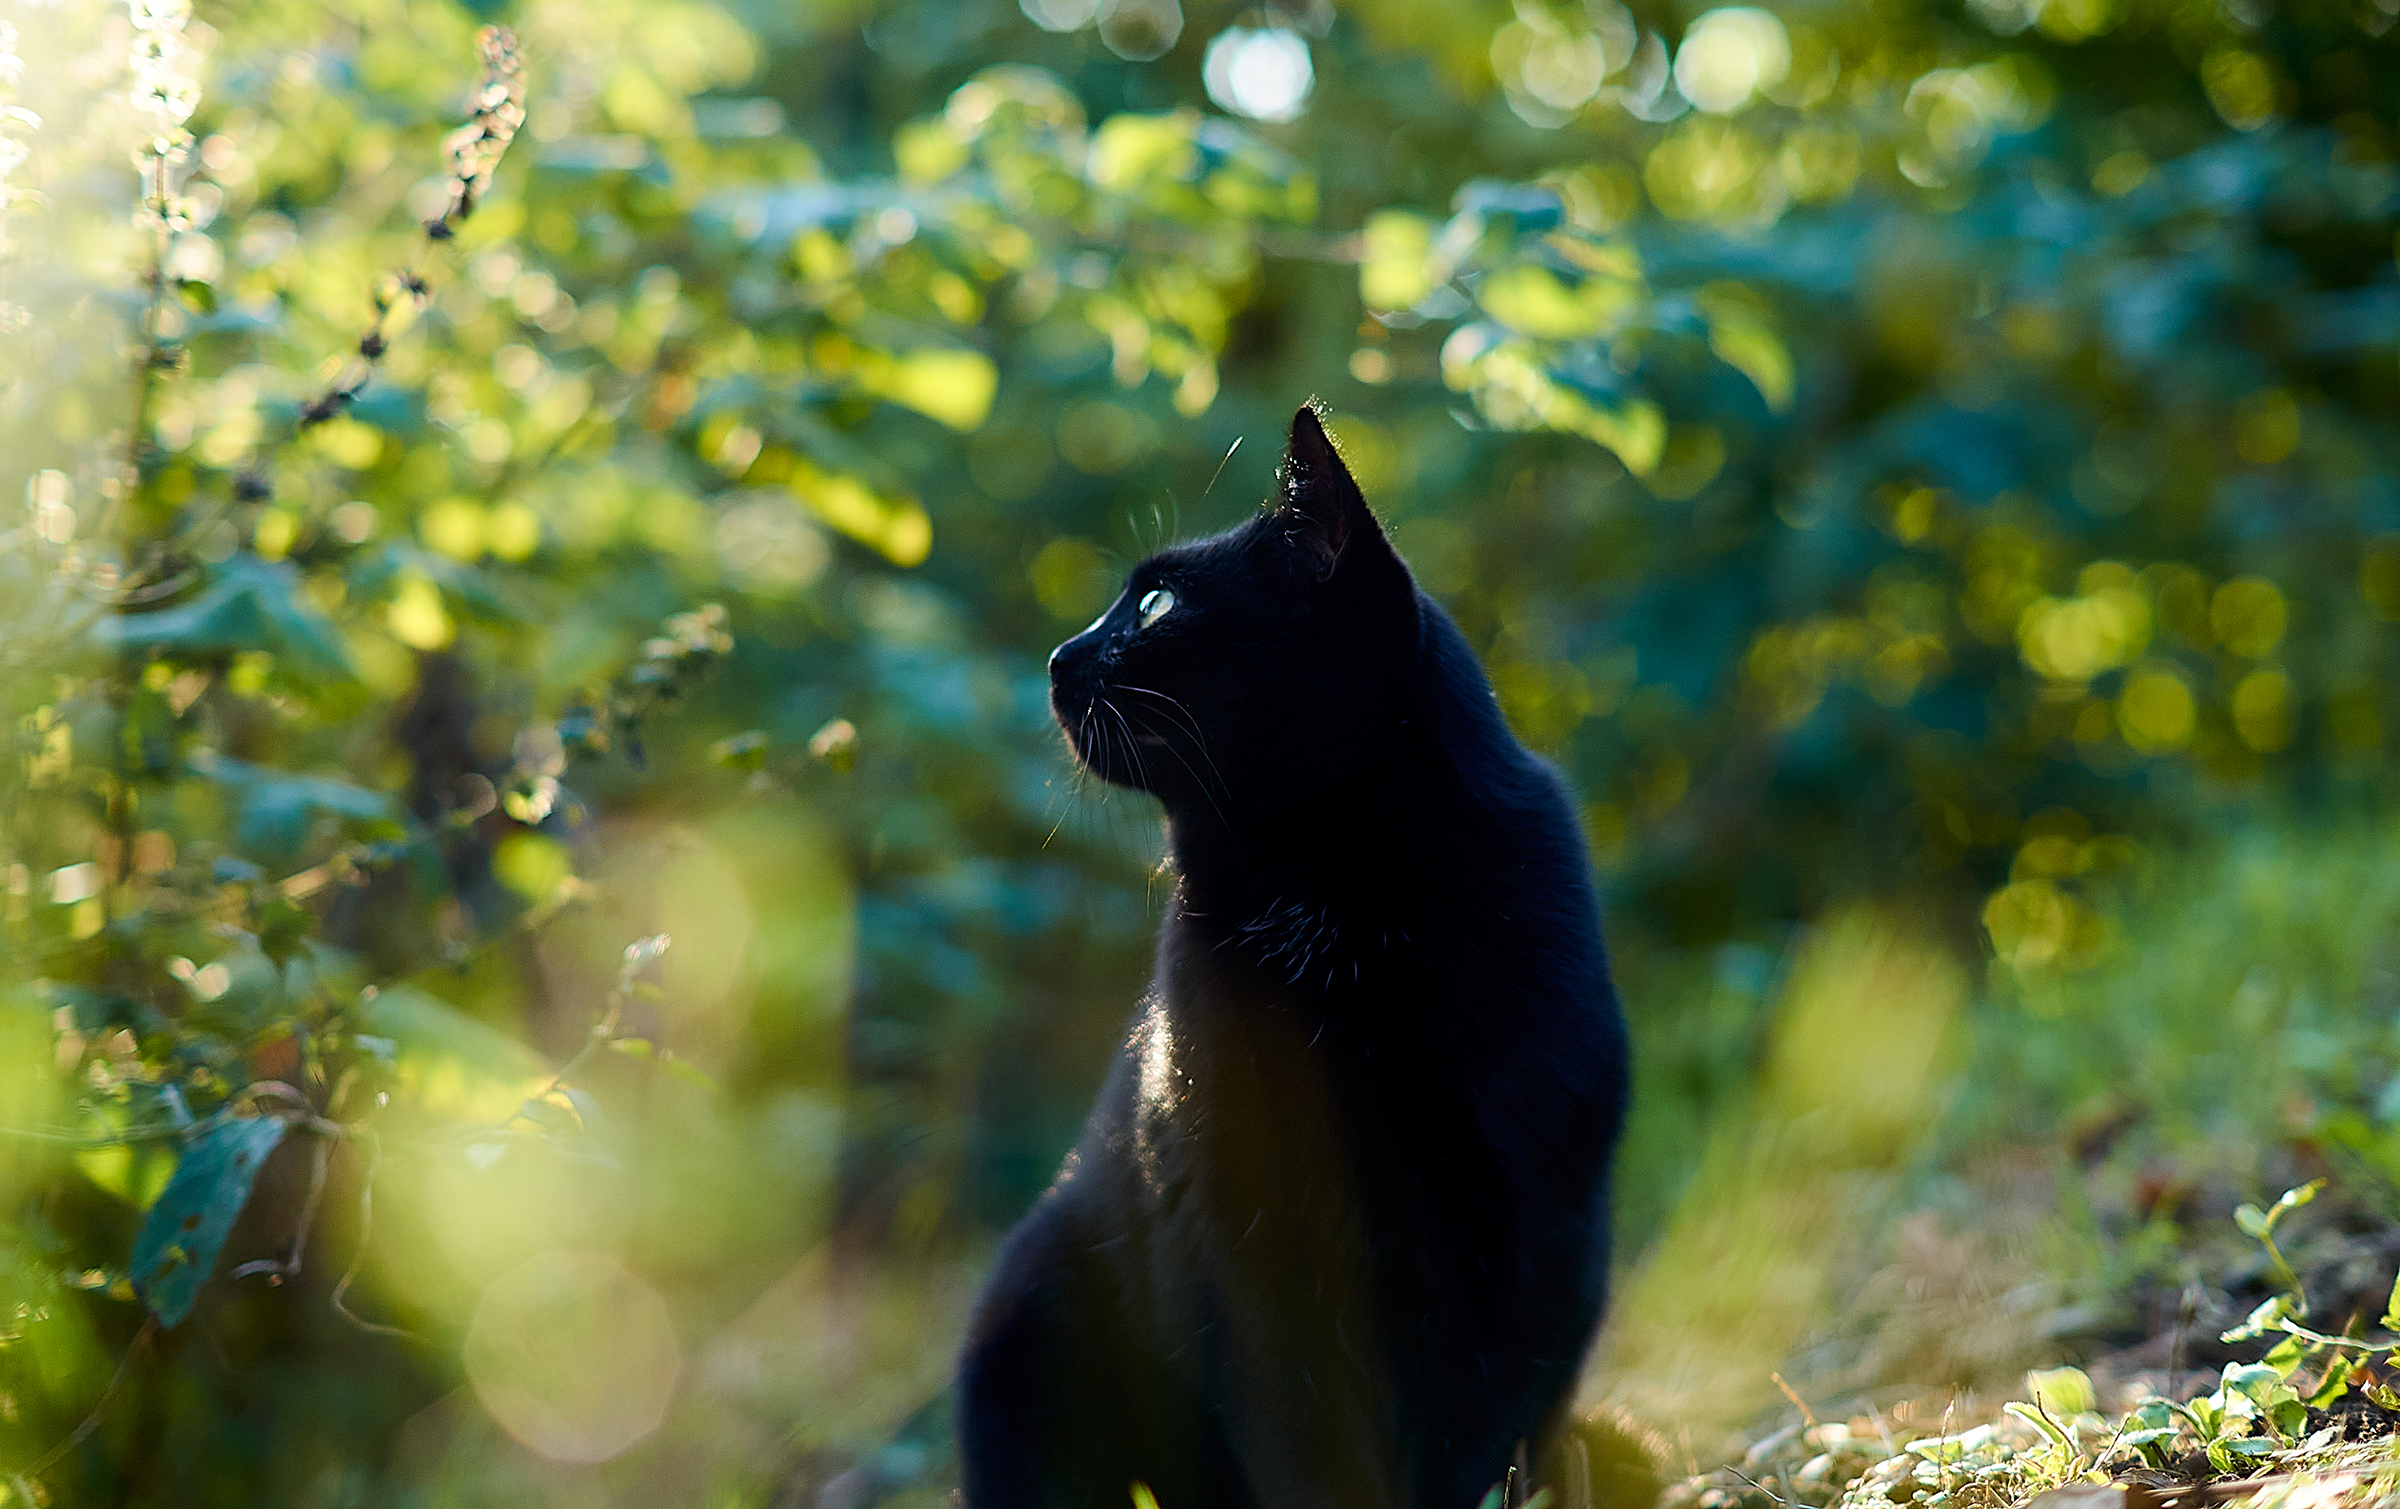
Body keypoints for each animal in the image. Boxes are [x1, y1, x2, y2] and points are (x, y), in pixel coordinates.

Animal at [955, 400, 1632, 1506]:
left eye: (1156, 603)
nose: (1057, 655)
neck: (1332, 907)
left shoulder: (1535, 1225)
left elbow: (1482, 1433)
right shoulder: (1257, 1249)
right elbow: (1311, 1441)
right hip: (1031, 1310)